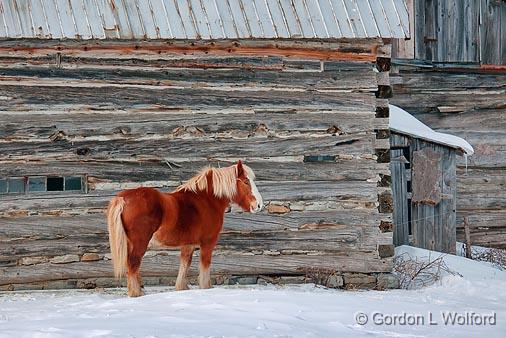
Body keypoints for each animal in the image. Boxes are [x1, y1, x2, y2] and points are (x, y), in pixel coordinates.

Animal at [107, 161, 264, 296]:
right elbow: (205, 264)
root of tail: (122, 198)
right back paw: (136, 293)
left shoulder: (188, 245)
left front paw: (181, 287)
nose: (259, 205)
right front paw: (206, 287)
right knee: (133, 264)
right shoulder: (208, 243)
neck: (205, 200)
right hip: (140, 243)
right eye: (246, 181)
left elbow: (185, 264)